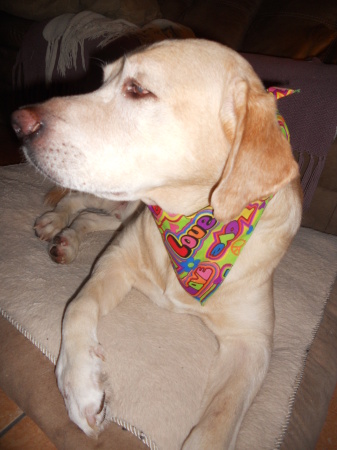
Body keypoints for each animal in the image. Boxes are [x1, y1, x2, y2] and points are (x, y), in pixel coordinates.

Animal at [11, 40, 300, 448]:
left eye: (137, 90)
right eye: (102, 80)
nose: (18, 123)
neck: (190, 234)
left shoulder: (252, 342)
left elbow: (218, 421)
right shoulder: (115, 261)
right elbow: (77, 308)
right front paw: (80, 387)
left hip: (120, 213)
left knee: (89, 218)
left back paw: (67, 238)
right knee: (77, 201)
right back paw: (55, 222)